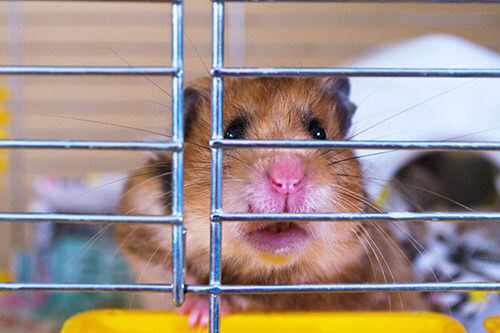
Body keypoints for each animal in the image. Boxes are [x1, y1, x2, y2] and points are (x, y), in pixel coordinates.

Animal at [115, 76, 428, 326]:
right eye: (231, 133)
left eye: (319, 132)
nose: (286, 179)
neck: (266, 267)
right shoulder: (140, 221)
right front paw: (193, 311)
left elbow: (264, 298)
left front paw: (202, 313)